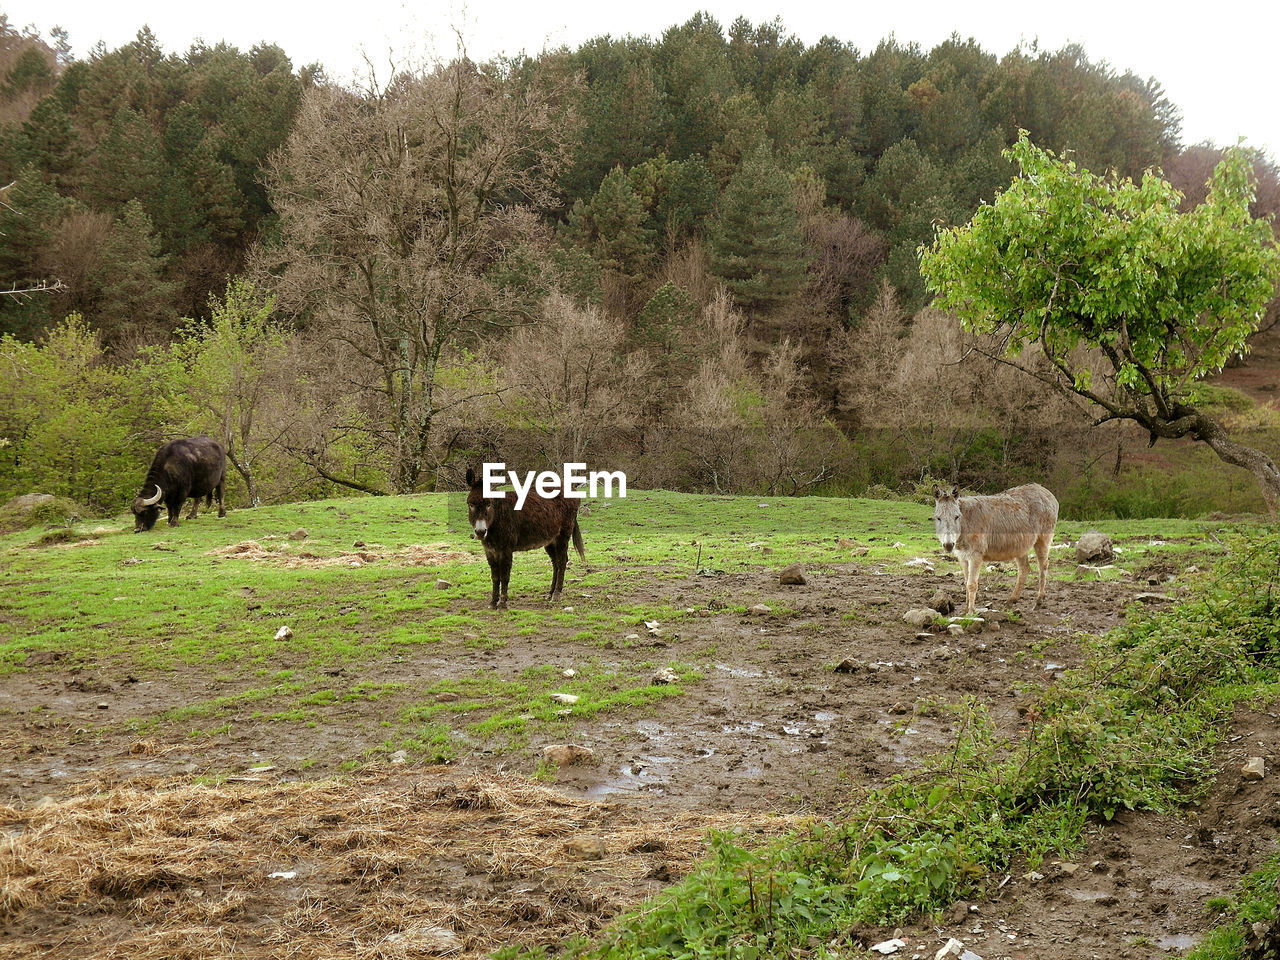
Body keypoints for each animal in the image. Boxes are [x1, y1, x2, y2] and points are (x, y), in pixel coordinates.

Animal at [465, 471, 586, 611]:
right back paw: (550, 593)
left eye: (489, 504)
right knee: (556, 562)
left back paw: (556, 595)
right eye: (471, 504)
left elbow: (504, 576)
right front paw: (492, 603)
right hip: (551, 540)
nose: (480, 532)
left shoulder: (506, 549)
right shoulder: (489, 550)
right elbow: (495, 577)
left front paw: (502, 604)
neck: (498, 516)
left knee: (561, 562)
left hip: (563, 535)